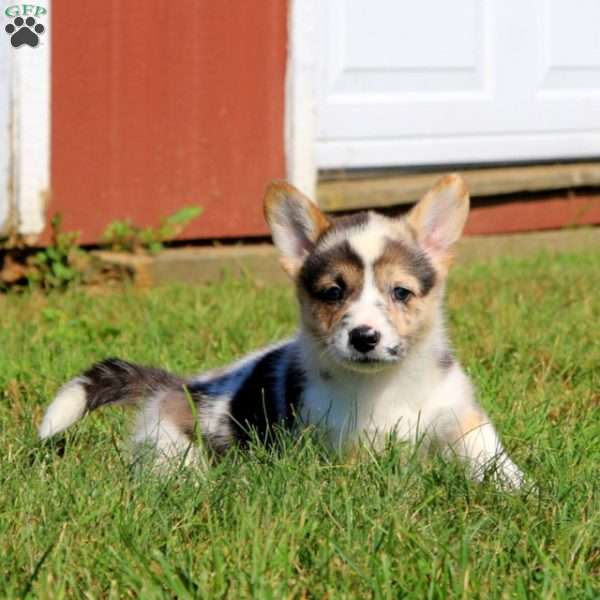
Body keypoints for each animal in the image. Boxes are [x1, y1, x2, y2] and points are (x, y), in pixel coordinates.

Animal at [37, 173, 524, 488]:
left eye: (401, 292)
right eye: (333, 293)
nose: (364, 338)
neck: (389, 385)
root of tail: (177, 387)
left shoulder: (459, 416)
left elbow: (492, 458)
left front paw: (521, 492)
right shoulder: (347, 445)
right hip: (172, 448)